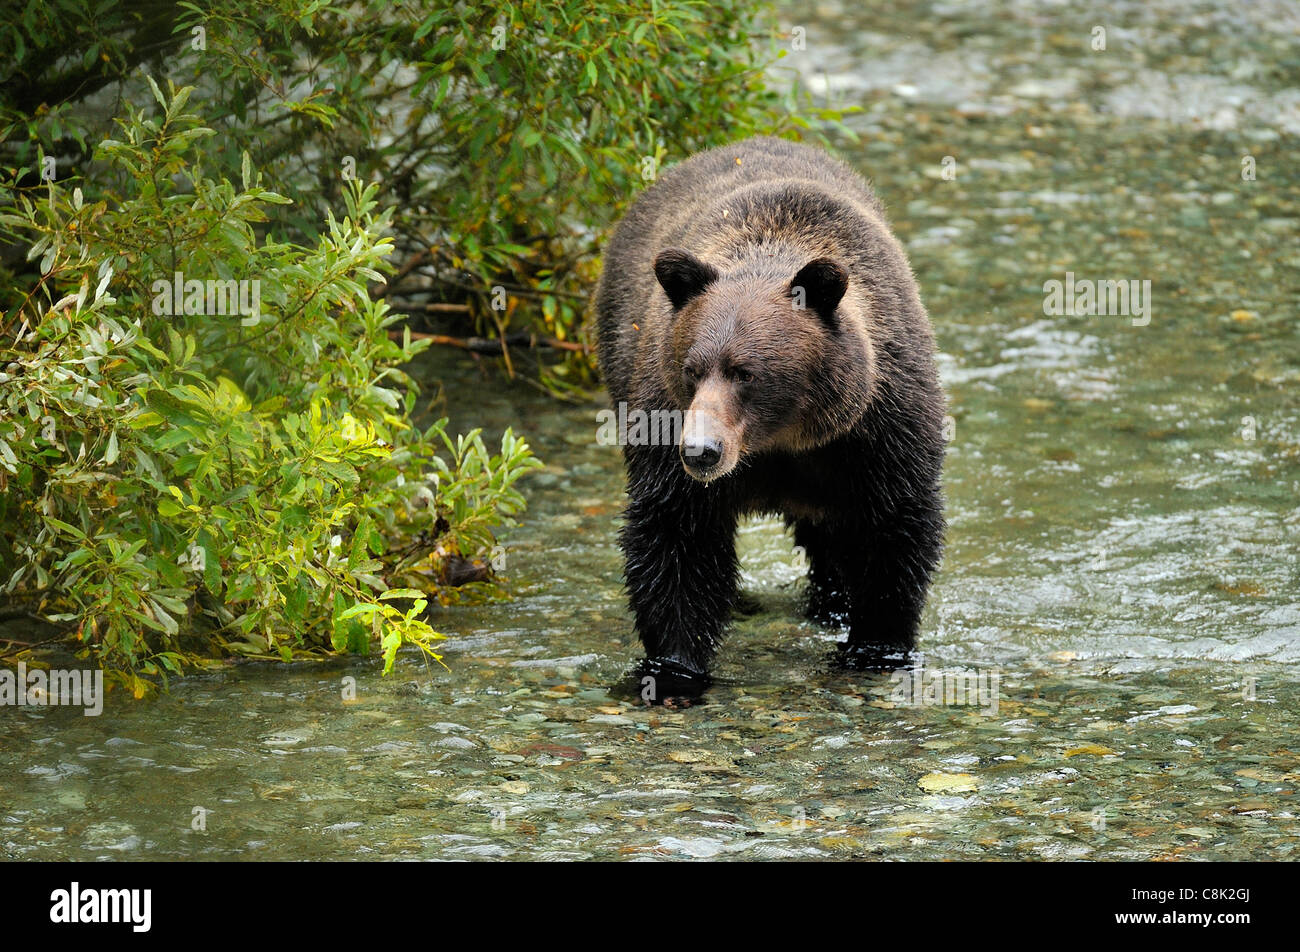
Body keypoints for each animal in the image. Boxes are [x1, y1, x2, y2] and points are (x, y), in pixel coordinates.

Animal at [592, 133, 946, 702]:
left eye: (746, 372)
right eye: (692, 369)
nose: (701, 451)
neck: (781, 440)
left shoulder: (876, 429)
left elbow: (891, 526)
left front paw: (875, 648)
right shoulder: (663, 418)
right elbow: (676, 534)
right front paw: (672, 668)